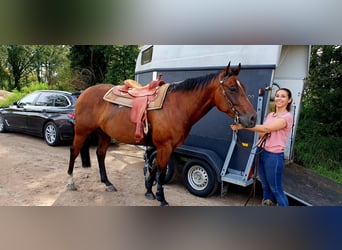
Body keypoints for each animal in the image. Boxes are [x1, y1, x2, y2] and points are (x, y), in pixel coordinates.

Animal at [67, 62, 256, 205]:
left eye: (244, 87)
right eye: (232, 88)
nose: (252, 118)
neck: (178, 106)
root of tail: (84, 92)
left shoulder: (165, 147)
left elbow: (155, 167)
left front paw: (149, 191)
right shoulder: (165, 146)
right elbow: (162, 171)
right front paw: (161, 197)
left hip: (104, 134)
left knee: (100, 154)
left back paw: (107, 183)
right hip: (82, 131)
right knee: (74, 152)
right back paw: (70, 183)